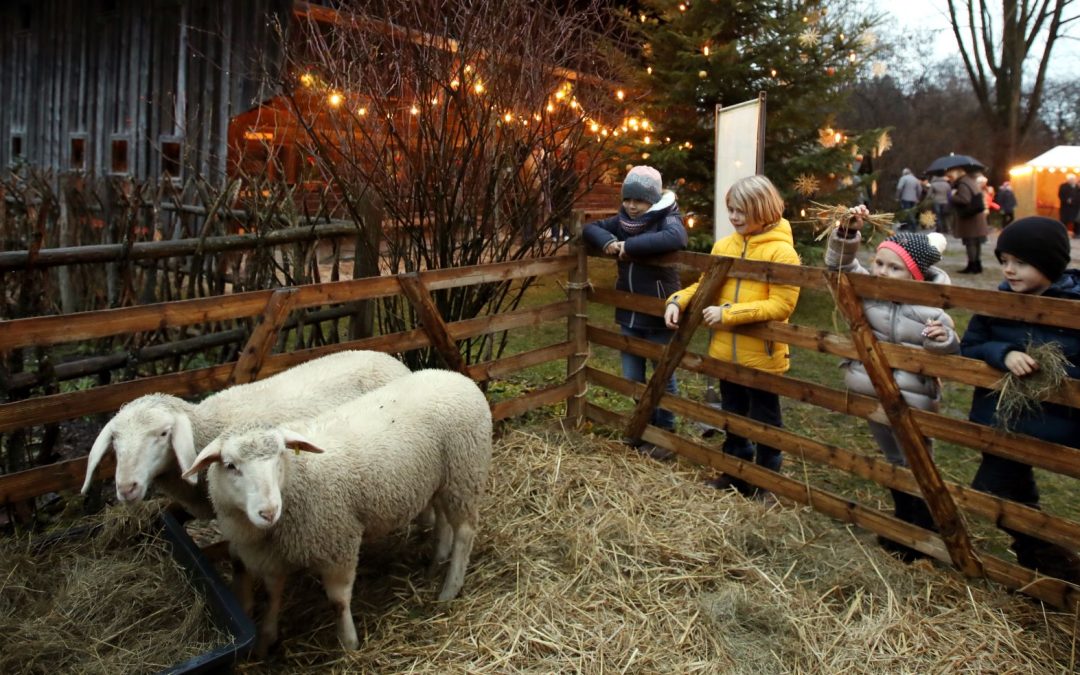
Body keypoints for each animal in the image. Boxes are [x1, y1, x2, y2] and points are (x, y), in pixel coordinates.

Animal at [183, 369, 492, 652]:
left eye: (280, 456)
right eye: (231, 466)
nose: (269, 511)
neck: (298, 477)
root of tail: (456, 376)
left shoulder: (337, 542)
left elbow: (338, 602)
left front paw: (349, 644)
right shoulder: (272, 558)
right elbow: (273, 595)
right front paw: (266, 638)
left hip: (465, 473)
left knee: (465, 532)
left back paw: (449, 588)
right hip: (442, 480)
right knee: (443, 520)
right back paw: (436, 562)